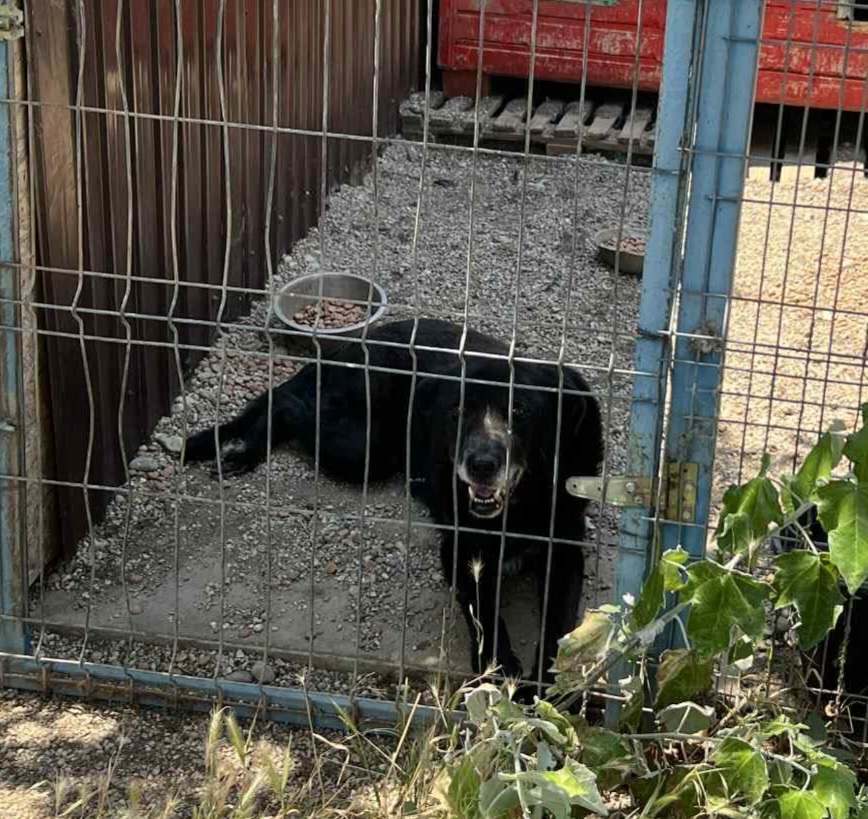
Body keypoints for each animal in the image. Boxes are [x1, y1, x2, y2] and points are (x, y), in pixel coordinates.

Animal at [185, 319, 603, 685]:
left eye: (520, 410)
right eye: (457, 411)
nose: (480, 465)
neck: (520, 506)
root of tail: (350, 347)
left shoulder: (565, 553)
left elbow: (559, 624)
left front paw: (544, 683)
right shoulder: (460, 551)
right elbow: (483, 611)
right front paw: (495, 664)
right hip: (365, 450)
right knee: (284, 403)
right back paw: (245, 452)